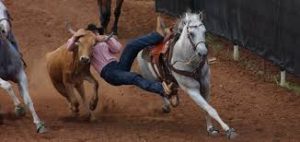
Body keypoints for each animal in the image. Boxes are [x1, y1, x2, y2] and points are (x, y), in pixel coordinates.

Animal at [0, 0, 46, 133]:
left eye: (6, 10)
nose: (4, 29)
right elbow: (7, 85)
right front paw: (18, 108)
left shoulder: (21, 75)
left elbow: (28, 100)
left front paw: (39, 124)